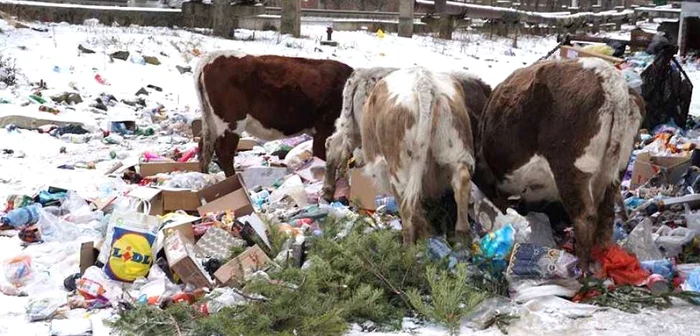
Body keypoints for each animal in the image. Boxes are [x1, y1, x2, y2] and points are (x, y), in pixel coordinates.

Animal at [194, 50, 352, 176]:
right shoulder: (324, 129)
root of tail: (211, 57)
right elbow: (322, 155)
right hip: (231, 121)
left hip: (210, 120)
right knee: (224, 151)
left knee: (204, 147)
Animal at [360, 67, 492, 247]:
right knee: (461, 182)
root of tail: (423, 81)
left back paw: (408, 247)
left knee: (407, 205)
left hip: (400, 167)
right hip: (456, 149)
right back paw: (461, 236)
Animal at [470, 57, 644, 272]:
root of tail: (612, 82)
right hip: (616, 171)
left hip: (570, 169)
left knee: (585, 217)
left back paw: (581, 267)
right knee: (606, 215)